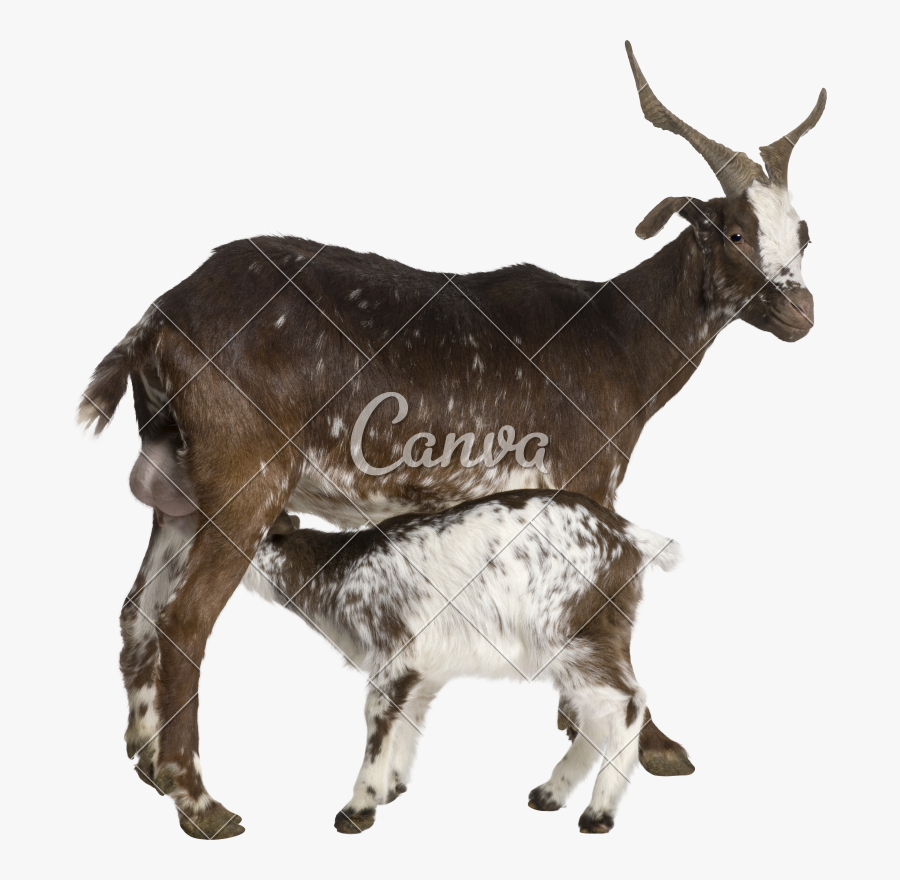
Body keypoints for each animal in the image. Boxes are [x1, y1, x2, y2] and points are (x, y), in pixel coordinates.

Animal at [241, 492, 682, 837]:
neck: (342, 572)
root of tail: (630, 536)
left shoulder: (395, 652)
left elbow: (378, 719)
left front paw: (359, 807)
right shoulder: (425, 668)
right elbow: (410, 715)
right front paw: (393, 786)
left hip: (571, 634)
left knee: (627, 701)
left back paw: (597, 813)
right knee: (596, 712)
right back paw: (550, 793)